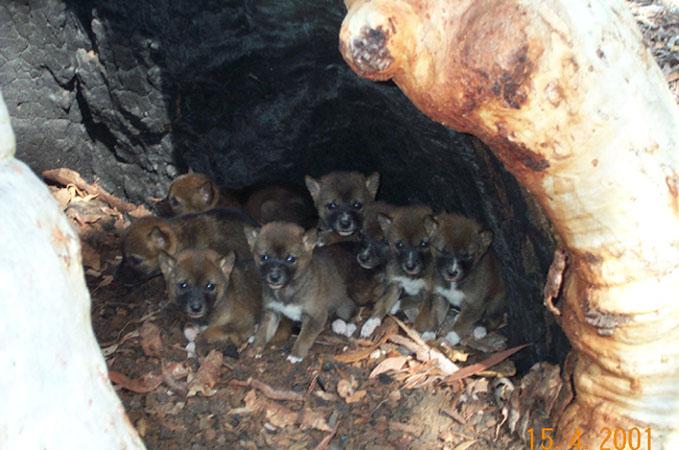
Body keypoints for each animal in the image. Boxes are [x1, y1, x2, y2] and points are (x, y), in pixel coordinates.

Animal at [247, 221, 358, 362]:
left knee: (349, 310)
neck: (287, 290)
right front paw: (256, 347)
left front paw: (296, 355)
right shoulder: (272, 311)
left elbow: (304, 338)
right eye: (264, 257)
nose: (274, 277)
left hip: (343, 301)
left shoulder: (315, 316)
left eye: (290, 259)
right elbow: (263, 330)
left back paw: (344, 325)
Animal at [358, 206, 438, 336]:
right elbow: (383, 304)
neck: (409, 276)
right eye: (399, 244)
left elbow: (425, 315)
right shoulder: (395, 285)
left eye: (423, 244)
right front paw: (370, 323)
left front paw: (422, 332)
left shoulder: (428, 292)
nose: (410, 266)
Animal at [430, 214, 504, 344]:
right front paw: (426, 335)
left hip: (496, 302)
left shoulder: (476, 305)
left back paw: (480, 329)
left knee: (495, 318)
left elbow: (461, 325)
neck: (454, 284)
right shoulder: (440, 296)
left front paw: (450, 339)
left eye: (467, 256)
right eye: (443, 251)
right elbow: (435, 316)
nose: (452, 273)